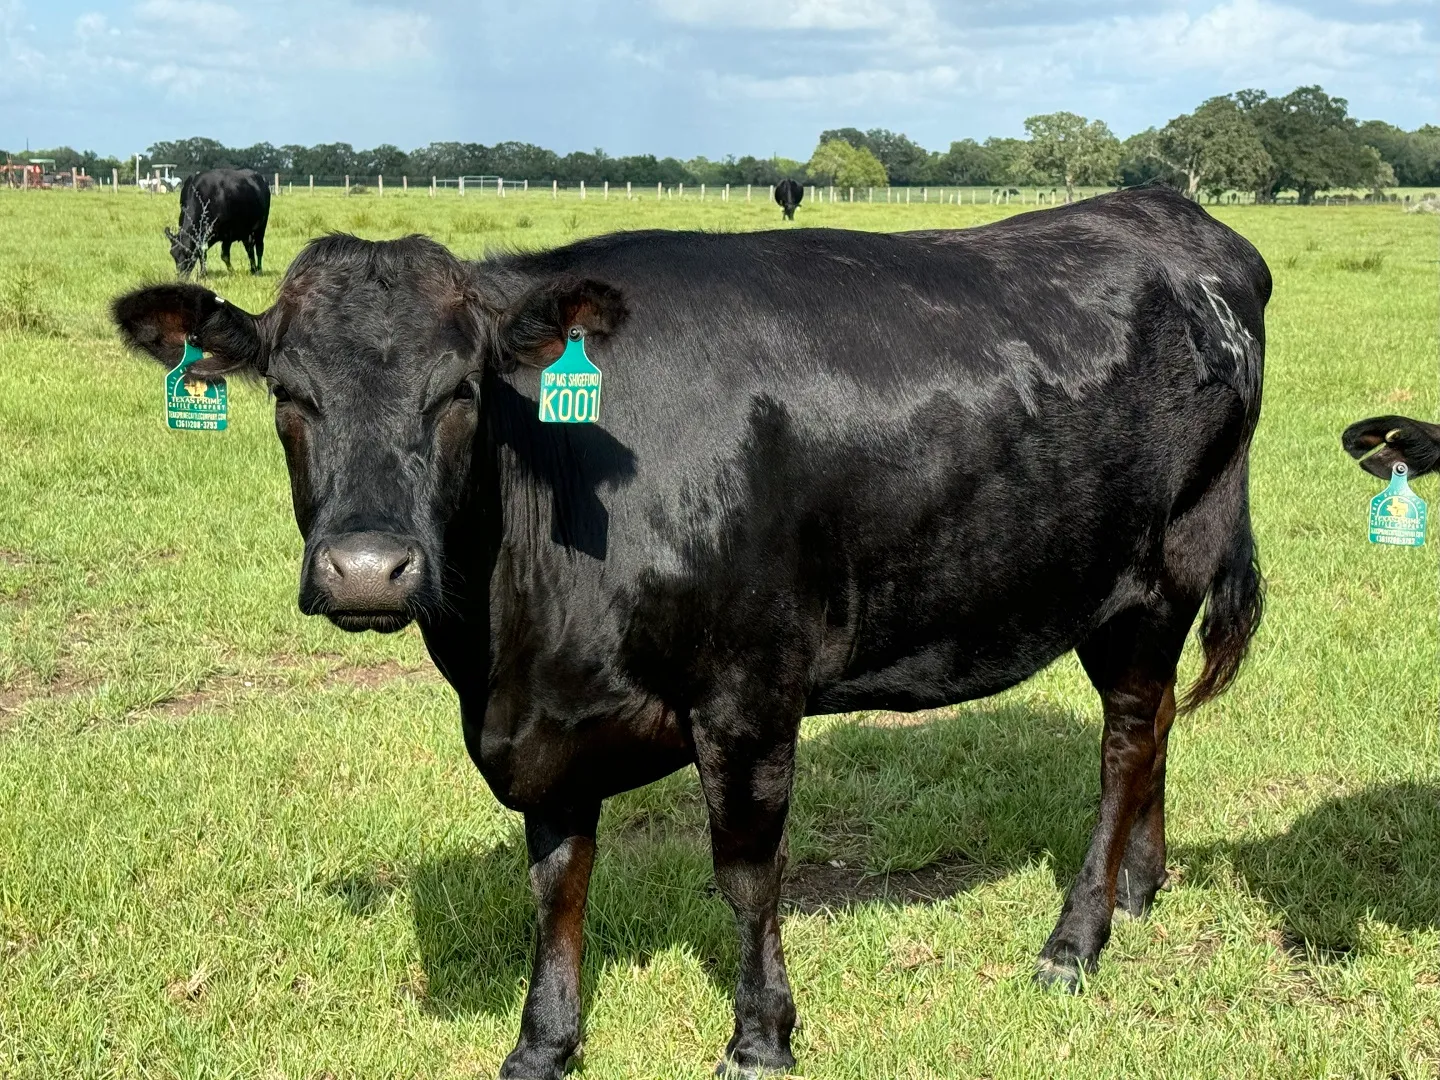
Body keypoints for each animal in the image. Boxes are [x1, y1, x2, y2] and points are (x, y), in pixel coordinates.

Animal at [109, 185, 1267, 1080]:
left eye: (460, 392)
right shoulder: (548, 729)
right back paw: (1142, 887)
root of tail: (1169, 213)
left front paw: (761, 1038)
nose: (365, 568)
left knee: (1127, 737)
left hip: (1157, 573)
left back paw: (1077, 937)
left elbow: (746, 872)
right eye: (288, 394)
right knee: (1158, 722)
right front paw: (544, 1043)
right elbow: (557, 881)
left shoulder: (750, 691)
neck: (507, 646)